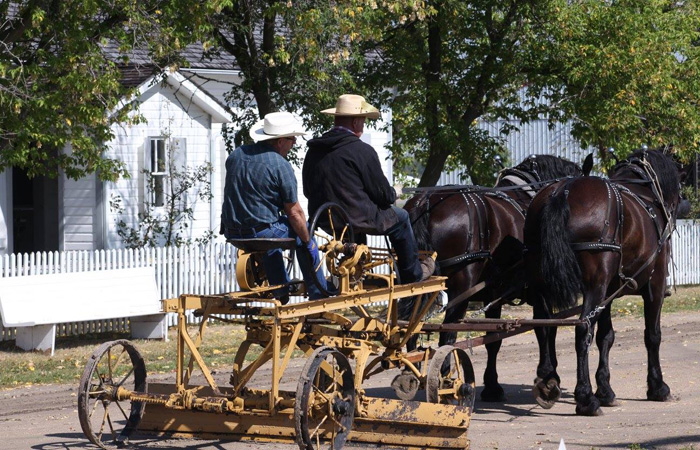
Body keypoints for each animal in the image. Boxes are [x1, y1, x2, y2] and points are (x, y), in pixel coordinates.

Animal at [404, 154, 584, 400]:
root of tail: (425, 201)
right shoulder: (541, 292)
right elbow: (545, 328)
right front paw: (549, 376)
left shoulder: (493, 295)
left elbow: (494, 340)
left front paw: (492, 386)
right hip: (460, 287)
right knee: (447, 334)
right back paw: (446, 379)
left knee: (408, 329)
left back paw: (409, 372)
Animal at [524, 149, 684, 416]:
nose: (680, 204)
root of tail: (561, 191)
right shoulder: (655, 284)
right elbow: (653, 335)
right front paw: (658, 387)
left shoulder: (609, 291)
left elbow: (605, 337)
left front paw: (606, 390)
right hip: (594, 285)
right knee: (582, 329)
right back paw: (585, 398)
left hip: (544, 284)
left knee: (544, 325)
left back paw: (548, 380)